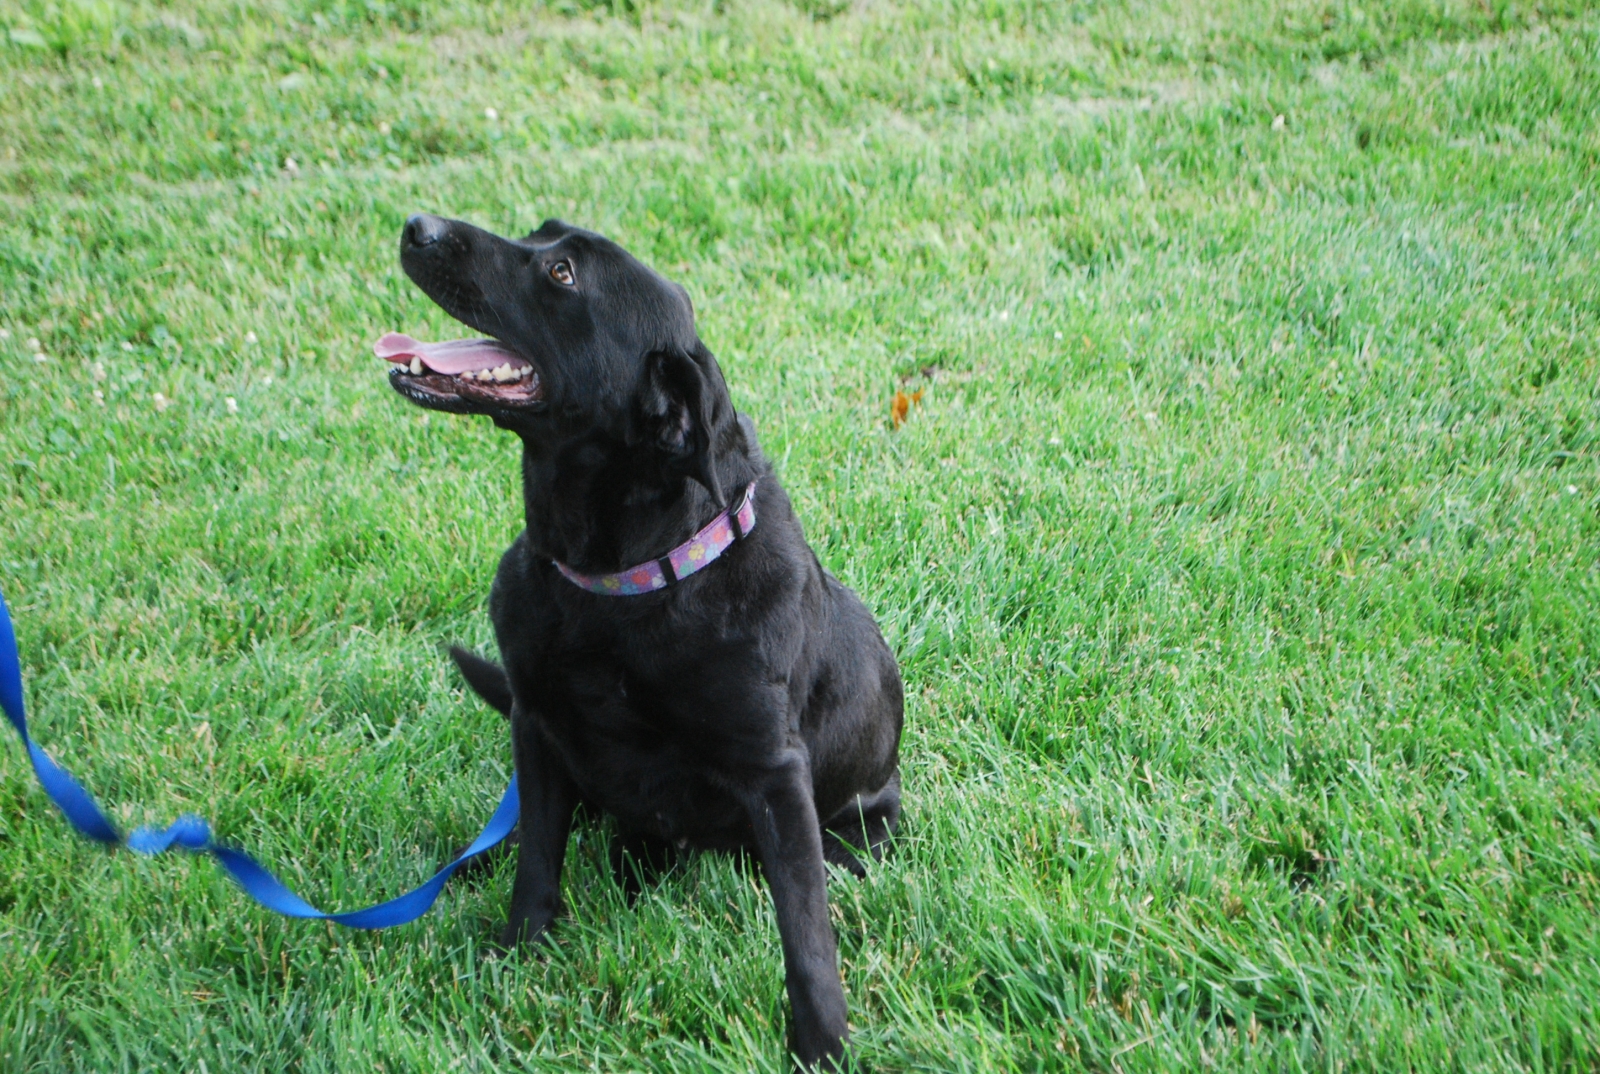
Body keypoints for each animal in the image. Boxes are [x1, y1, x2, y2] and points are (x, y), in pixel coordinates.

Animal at [376, 212, 902, 1069]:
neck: (613, 585)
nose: (418, 225)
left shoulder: (774, 772)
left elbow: (805, 930)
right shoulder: (537, 725)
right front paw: (519, 956)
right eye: (539, 233)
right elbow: (536, 862)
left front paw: (821, 1043)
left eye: (561, 274)